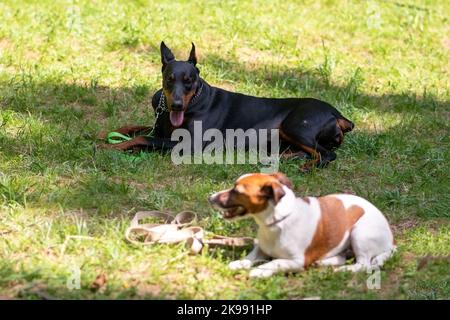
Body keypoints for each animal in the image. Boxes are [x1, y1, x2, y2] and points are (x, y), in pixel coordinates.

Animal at [103, 42, 354, 171]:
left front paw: (110, 147)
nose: (176, 106)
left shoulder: (189, 144)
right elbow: (133, 128)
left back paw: (307, 166)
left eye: (189, 80)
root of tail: (338, 114)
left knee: (327, 154)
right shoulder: (159, 127)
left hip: (295, 126)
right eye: (169, 79)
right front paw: (104, 135)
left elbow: (142, 138)